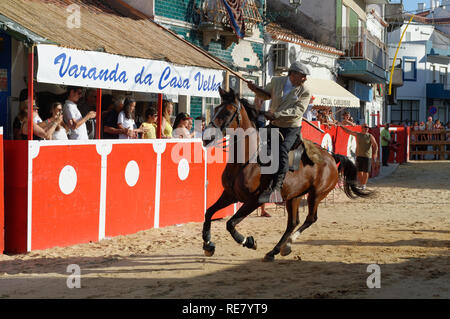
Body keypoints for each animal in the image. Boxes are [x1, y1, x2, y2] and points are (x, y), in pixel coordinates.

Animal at [202, 88, 370, 262]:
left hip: (316, 194)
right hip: (294, 197)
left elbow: (231, 223)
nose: (206, 137)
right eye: (215, 109)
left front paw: (248, 241)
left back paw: (287, 245)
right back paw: (274, 251)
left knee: (310, 218)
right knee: (293, 223)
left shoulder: (253, 200)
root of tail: (331, 157)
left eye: (227, 112)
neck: (247, 160)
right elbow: (209, 213)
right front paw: (208, 244)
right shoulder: (230, 195)